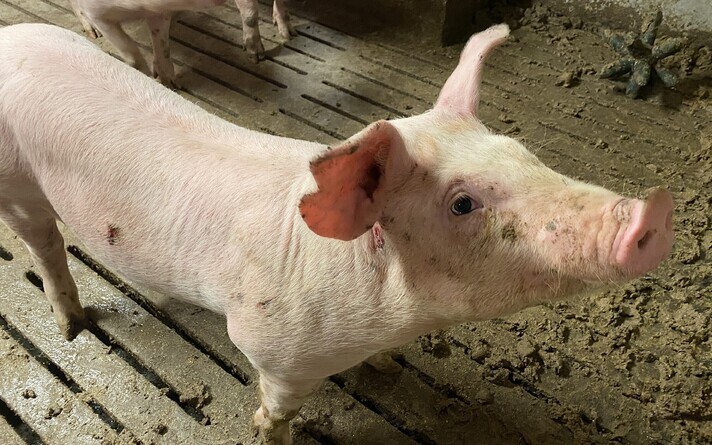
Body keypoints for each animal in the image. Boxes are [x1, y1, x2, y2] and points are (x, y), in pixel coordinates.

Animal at [0, 23, 674, 445]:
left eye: (522, 153)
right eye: (462, 203)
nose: (655, 210)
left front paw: (384, 371)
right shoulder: (271, 344)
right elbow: (278, 408)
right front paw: (269, 434)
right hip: (17, 181)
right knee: (44, 246)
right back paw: (71, 327)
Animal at [69, 0, 295, 87]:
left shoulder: (158, 13)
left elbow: (162, 45)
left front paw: (170, 83)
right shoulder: (98, 13)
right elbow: (131, 52)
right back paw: (93, 33)